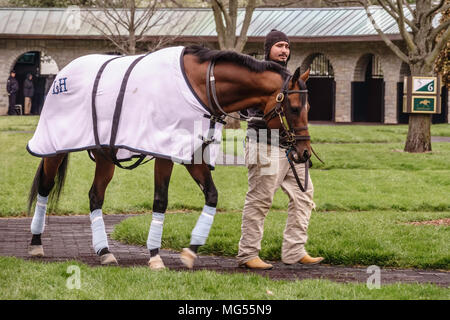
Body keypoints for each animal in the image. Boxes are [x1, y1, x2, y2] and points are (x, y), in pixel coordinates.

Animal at [26, 45, 312, 270]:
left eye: (308, 107)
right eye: (293, 108)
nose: (305, 152)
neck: (203, 85)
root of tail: (62, 75)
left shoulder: (195, 153)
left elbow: (212, 196)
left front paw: (191, 250)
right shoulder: (164, 151)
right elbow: (160, 200)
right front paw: (155, 256)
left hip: (105, 154)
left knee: (95, 196)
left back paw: (105, 252)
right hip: (55, 147)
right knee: (45, 188)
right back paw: (36, 244)